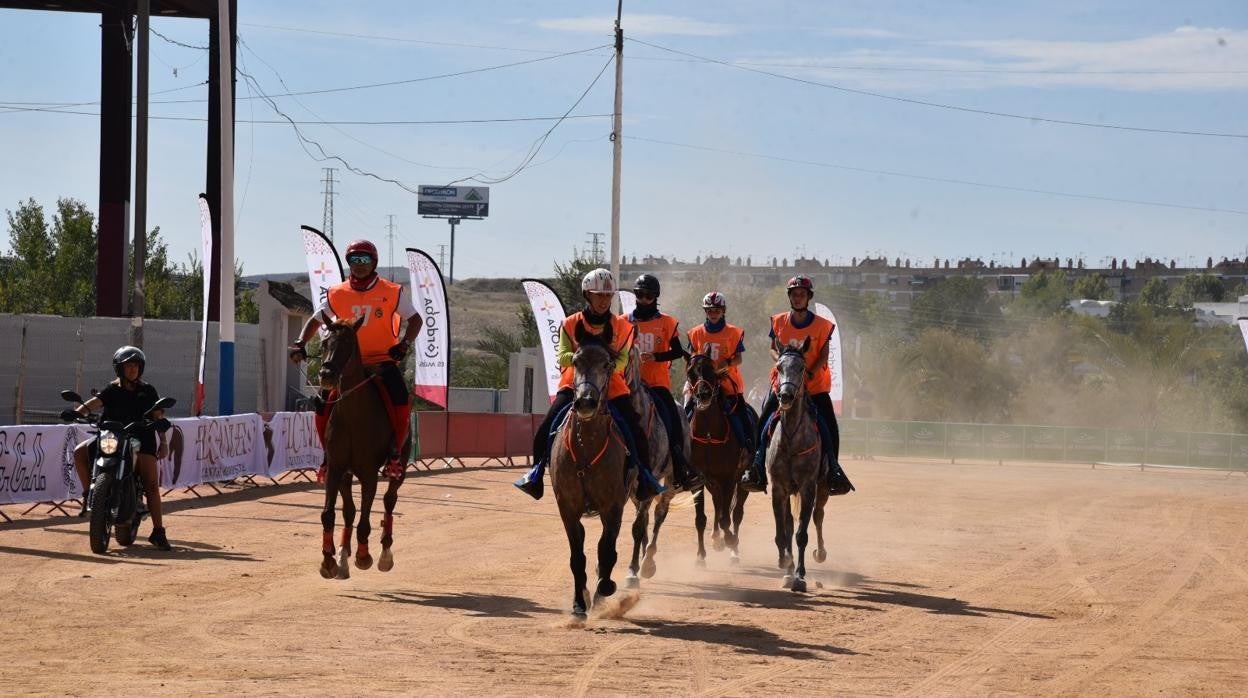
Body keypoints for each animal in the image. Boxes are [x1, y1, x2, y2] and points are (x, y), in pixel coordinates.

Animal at [316, 317, 404, 579]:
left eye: (347, 343)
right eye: (324, 342)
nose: (326, 373)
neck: (353, 415)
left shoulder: (368, 473)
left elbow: (365, 521)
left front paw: (363, 556)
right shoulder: (335, 468)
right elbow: (329, 514)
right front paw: (328, 560)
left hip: (399, 468)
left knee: (389, 501)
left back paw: (384, 554)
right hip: (346, 474)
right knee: (349, 511)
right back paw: (343, 555)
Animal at [551, 342, 633, 619]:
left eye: (607, 364)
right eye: (575, 361)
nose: (586, 402)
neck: (586, 444)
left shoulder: (613, 506)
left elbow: (607, 551)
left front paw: (605, 587)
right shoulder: (567, 508)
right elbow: (577, 558)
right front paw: (578, 604)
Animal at [683, 354, 748, 569]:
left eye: (712, 370)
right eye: (690, 372)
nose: (703, 394)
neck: (709, 435)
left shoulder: (728, 479)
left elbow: (726, 518)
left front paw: (730, 540)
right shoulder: (699, 481)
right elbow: (700, 519)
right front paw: (700, 556)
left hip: (740, 481)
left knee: (736, 513)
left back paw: (734, 551)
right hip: (713, 483)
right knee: (718, 503)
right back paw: (716, 538)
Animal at [758, 337, 828, 589]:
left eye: (801, 368)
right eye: (779, 367)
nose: (785, 396)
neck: (791, 439)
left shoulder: (808, 488)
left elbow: (801, 533)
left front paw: (800, 574)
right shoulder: (779, 488)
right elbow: (783, 531)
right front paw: (785, 563)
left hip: (822, 487)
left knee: (818, 516)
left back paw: (820, 553)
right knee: (789, 522)